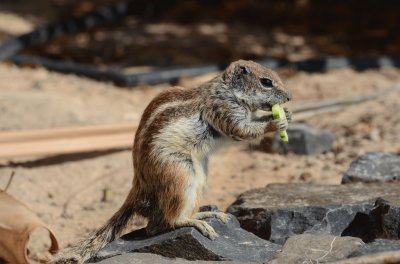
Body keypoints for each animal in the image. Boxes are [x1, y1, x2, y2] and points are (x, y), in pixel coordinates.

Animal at [52, 60, 290, 264]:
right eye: (266, 82)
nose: (288, 97)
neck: (228, 90)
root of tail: (139, 186)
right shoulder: (224, 110)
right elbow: (243, 130)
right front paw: (274, 122)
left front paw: (284, 114)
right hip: (180, 173)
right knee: (163, 224)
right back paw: (195, 222)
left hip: (199, 175)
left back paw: (205, 213)